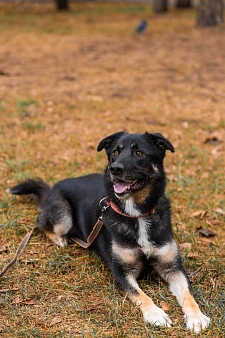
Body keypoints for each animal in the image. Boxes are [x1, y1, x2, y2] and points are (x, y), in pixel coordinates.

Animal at [7, 131, 211, 332]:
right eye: (115, 152)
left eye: (139, 153)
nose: (115, 169)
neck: (136, 214)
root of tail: (51, 190)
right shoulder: (121, 271)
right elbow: (141, 295)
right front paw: (155, 314)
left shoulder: (173, 267)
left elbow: (188, 295)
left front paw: (196, 317)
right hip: (63, 214)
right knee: (40, 223)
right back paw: (59, 239)